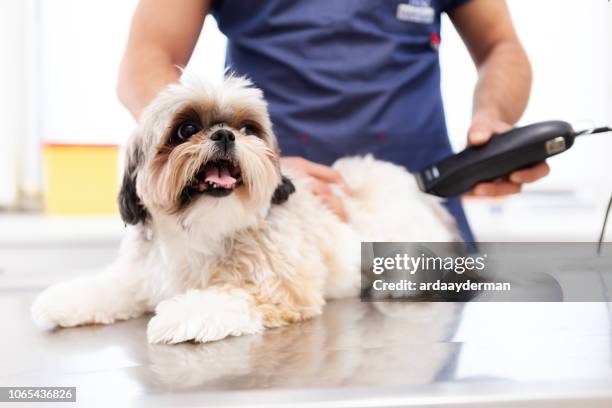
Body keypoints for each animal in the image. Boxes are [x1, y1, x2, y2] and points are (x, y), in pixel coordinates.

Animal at [29, 75, 460, 342]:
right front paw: (65, 300)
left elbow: (229, 296)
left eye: (248, 129)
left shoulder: (281, 289)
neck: (199, 229)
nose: (224, 134)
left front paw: (181, 314)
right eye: (186, 129)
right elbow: (110, 286)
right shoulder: (141, 276)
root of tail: (417, 189)